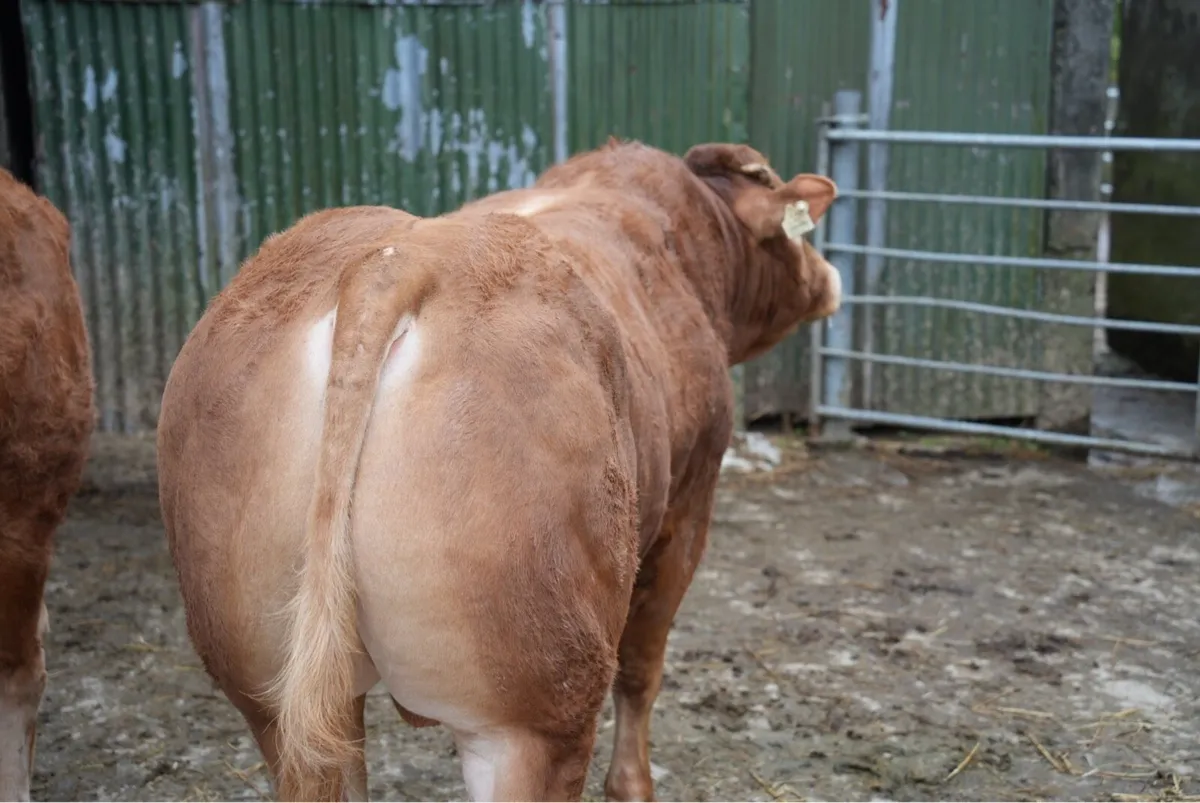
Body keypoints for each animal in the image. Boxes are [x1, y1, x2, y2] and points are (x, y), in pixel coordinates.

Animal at [156, 138, 840, 802]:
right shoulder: (688, 507)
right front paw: (634, 787)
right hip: (534, 709)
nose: (830, 276)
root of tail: (393, 263)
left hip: (273, 691)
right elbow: (643, 670)